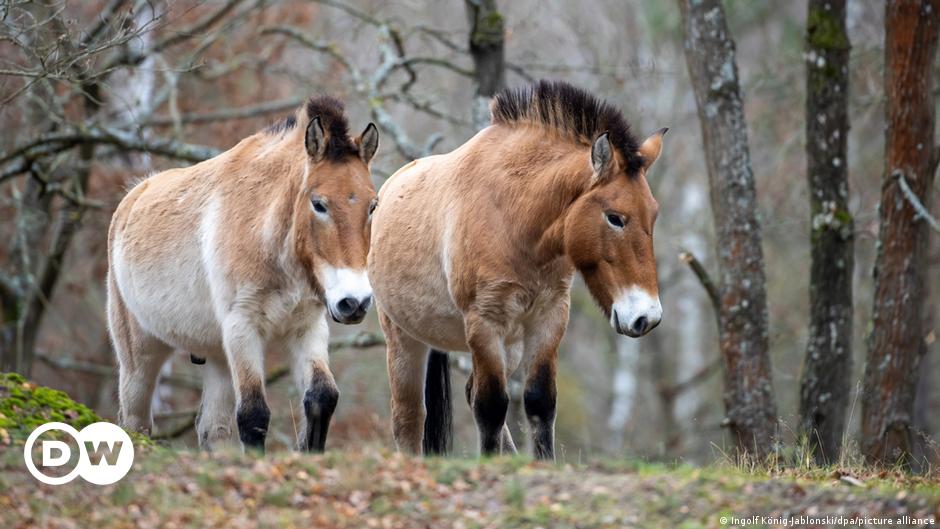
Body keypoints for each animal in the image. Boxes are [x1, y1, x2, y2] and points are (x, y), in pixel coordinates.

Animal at [107, 96, 379, 453]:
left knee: (212, 429)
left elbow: (322, 397)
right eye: (318, 204)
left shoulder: (307, 327)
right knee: (134, 423)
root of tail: (133, 196)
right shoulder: (243, 327)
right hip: (139, 360)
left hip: (216, 357)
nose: (355, 302)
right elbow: (253, 414)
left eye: (373, 206)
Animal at [368, 80, 666, 459]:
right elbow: (491, 406)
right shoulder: (484, 322)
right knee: (408, 416)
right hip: (404, 338)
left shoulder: (549, 318)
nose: (646, 317)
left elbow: (540, 402)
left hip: (508, 344)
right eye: (615, 217)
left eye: (653, 215)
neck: (514, 216)